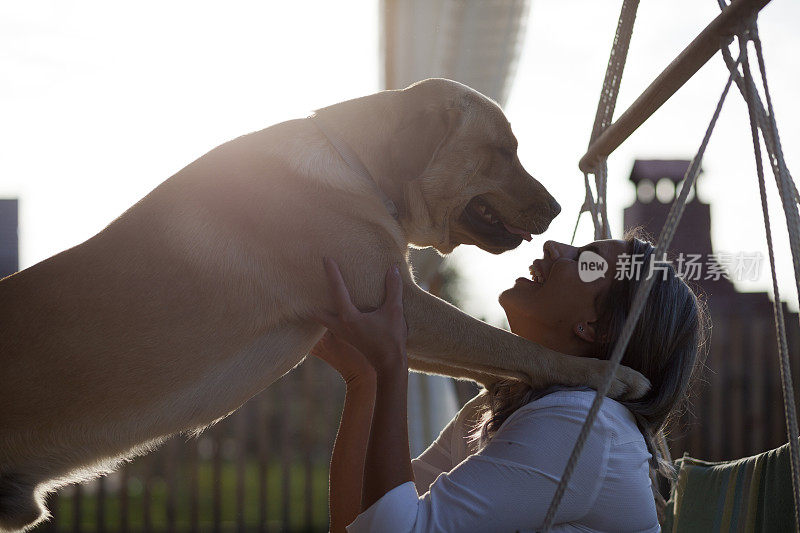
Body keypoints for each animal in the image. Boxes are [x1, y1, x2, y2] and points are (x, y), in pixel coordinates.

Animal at [0, 77, 648, 528]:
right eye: (503, 149)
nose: (559, 208)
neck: (358, 170)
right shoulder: (399, 306)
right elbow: (513, 345)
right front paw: (609, 373)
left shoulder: (392, 318)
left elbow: (499, 354)